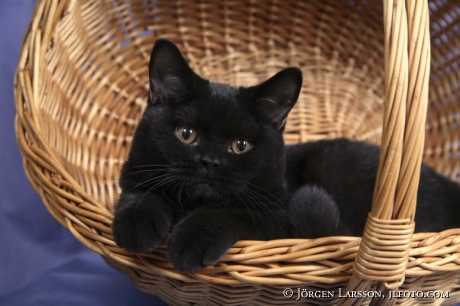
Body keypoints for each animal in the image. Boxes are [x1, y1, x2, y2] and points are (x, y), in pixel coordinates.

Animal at [113, 38, 460, 270]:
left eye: (241, 145)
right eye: (187, 134)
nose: (210, 162)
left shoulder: (277, 221)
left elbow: (228, 212)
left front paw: (191, 241)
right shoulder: (133, 174)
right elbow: (141, 192)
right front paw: (136, 224)